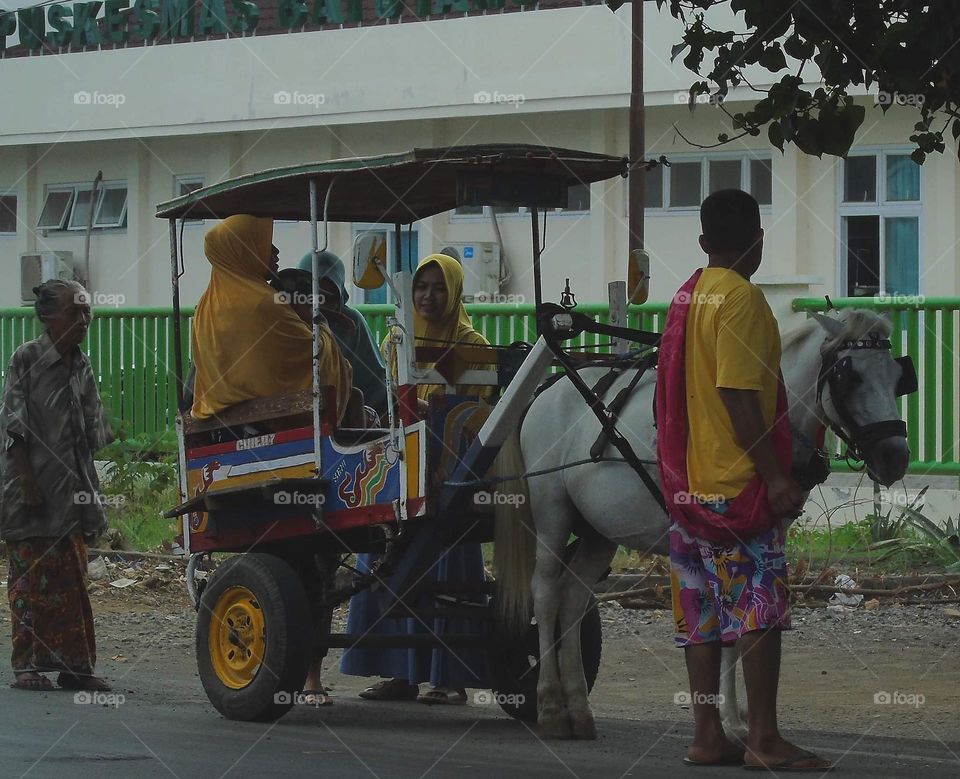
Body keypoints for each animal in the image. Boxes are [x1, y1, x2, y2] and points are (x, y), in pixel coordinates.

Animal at [498, 310, 912, 736]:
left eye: (899, 376)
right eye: (849, 377)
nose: (894, 456)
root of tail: (546, 390)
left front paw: (737, 716)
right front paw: (729, 718)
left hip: (599, 531)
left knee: (573, 597)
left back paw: (578, 707)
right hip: (552, 513)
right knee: (546, 593)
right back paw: (550, 705)